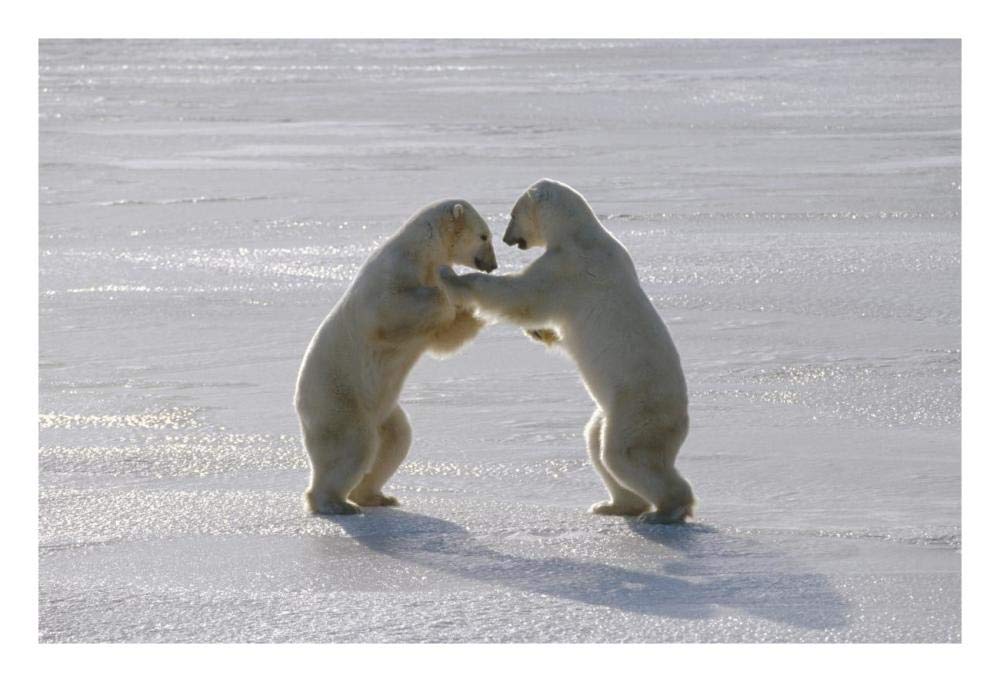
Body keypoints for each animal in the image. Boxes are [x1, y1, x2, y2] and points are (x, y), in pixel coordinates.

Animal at [294, 199, 497, 515]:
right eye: (484, 236)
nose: (492, 265)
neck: (419, 253)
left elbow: (444, 338)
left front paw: (470, 306)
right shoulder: (390, 277)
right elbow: (391, 311)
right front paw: (446, 294)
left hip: (385, 412)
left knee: (396, 441)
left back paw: (376, 496)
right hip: (340, 401)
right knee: (352, 447)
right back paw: (335, 503)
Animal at [439, 179, 694, 523]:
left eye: (512, 214)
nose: (507, 239)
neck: (580, 233)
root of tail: (682, 421)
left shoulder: (569, 267)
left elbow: (522, 295)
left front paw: (452, 277)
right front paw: (541, 333)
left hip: (638, 409)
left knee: (625, 454)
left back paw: (667, 509)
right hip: (611, 411)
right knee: (596, 440)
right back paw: (613, 505)